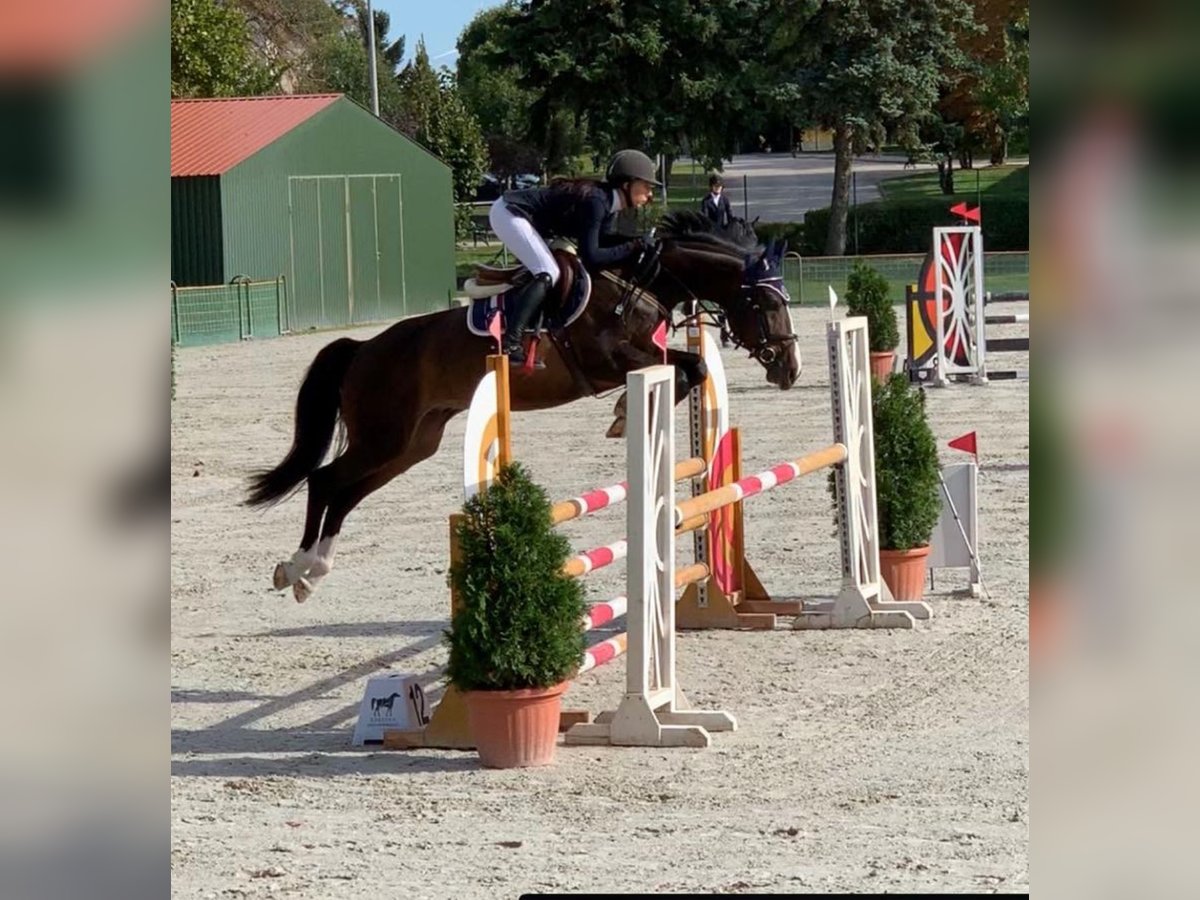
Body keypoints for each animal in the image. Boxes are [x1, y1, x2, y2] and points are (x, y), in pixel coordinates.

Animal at [247, 212, 801, 602]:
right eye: (769, 304)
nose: (789, 369)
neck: (643, 281)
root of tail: (363, 348)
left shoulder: (650, 353)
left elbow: (693, 368)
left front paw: (626, 414)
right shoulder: (611, 359)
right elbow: (687, 368)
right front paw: (625, 413)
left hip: (412, 444)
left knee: (345, 494)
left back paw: (309, 575)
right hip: (382, 436)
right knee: (325, 482)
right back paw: (295, 570)